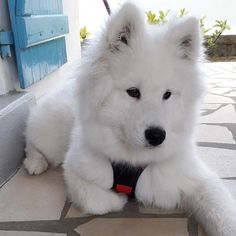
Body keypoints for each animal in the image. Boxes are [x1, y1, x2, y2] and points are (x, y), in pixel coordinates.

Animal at [24, 2, 236, 235]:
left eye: (167, 94)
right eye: (133, 92)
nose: (157, 136)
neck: (133, 162)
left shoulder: (196, 178)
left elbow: (223, 213)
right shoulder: (74, 170)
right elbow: (96, 201)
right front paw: (117, 199)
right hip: (50, 137)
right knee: (30, 143)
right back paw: (34, 163)